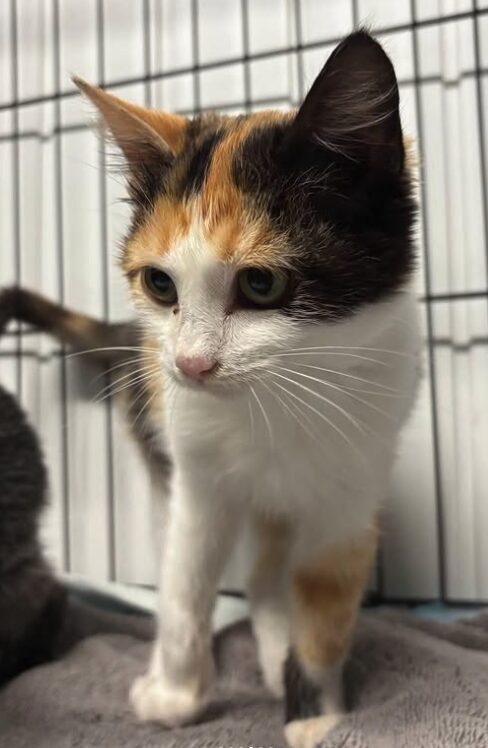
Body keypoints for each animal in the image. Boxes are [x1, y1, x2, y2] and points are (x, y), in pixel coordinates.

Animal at [4, 30, 420, 748]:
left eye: (261, 283)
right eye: (159, 283)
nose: (192, 365)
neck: (277, 403)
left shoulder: (353, 485)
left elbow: (325, 597)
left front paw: (318, 714)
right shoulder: (196, 474)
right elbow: (184, 579)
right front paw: (175, 694)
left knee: (267, 573)